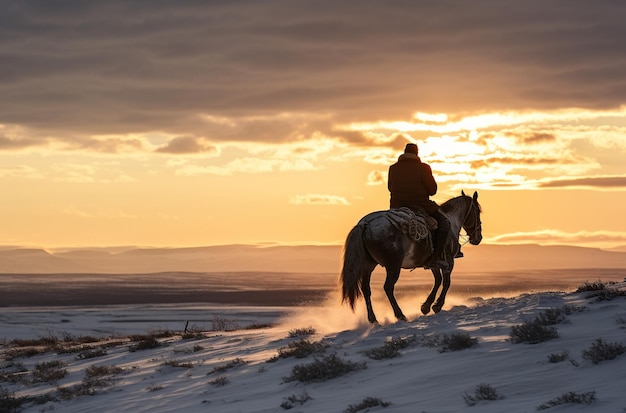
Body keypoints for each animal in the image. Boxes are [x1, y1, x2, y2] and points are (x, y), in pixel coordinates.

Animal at [338, 190, 480, 322]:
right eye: (478, 211)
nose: (478, 238)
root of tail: (365, 224)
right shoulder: (449, 261)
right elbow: (446, 282)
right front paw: (437, 305)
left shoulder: (434, 263)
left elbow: (438, 280)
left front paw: (426, 306)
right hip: (393, 265)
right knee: (388, 287)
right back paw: (400, 315)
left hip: (368, 265)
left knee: (366, 289)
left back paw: (373, 319)